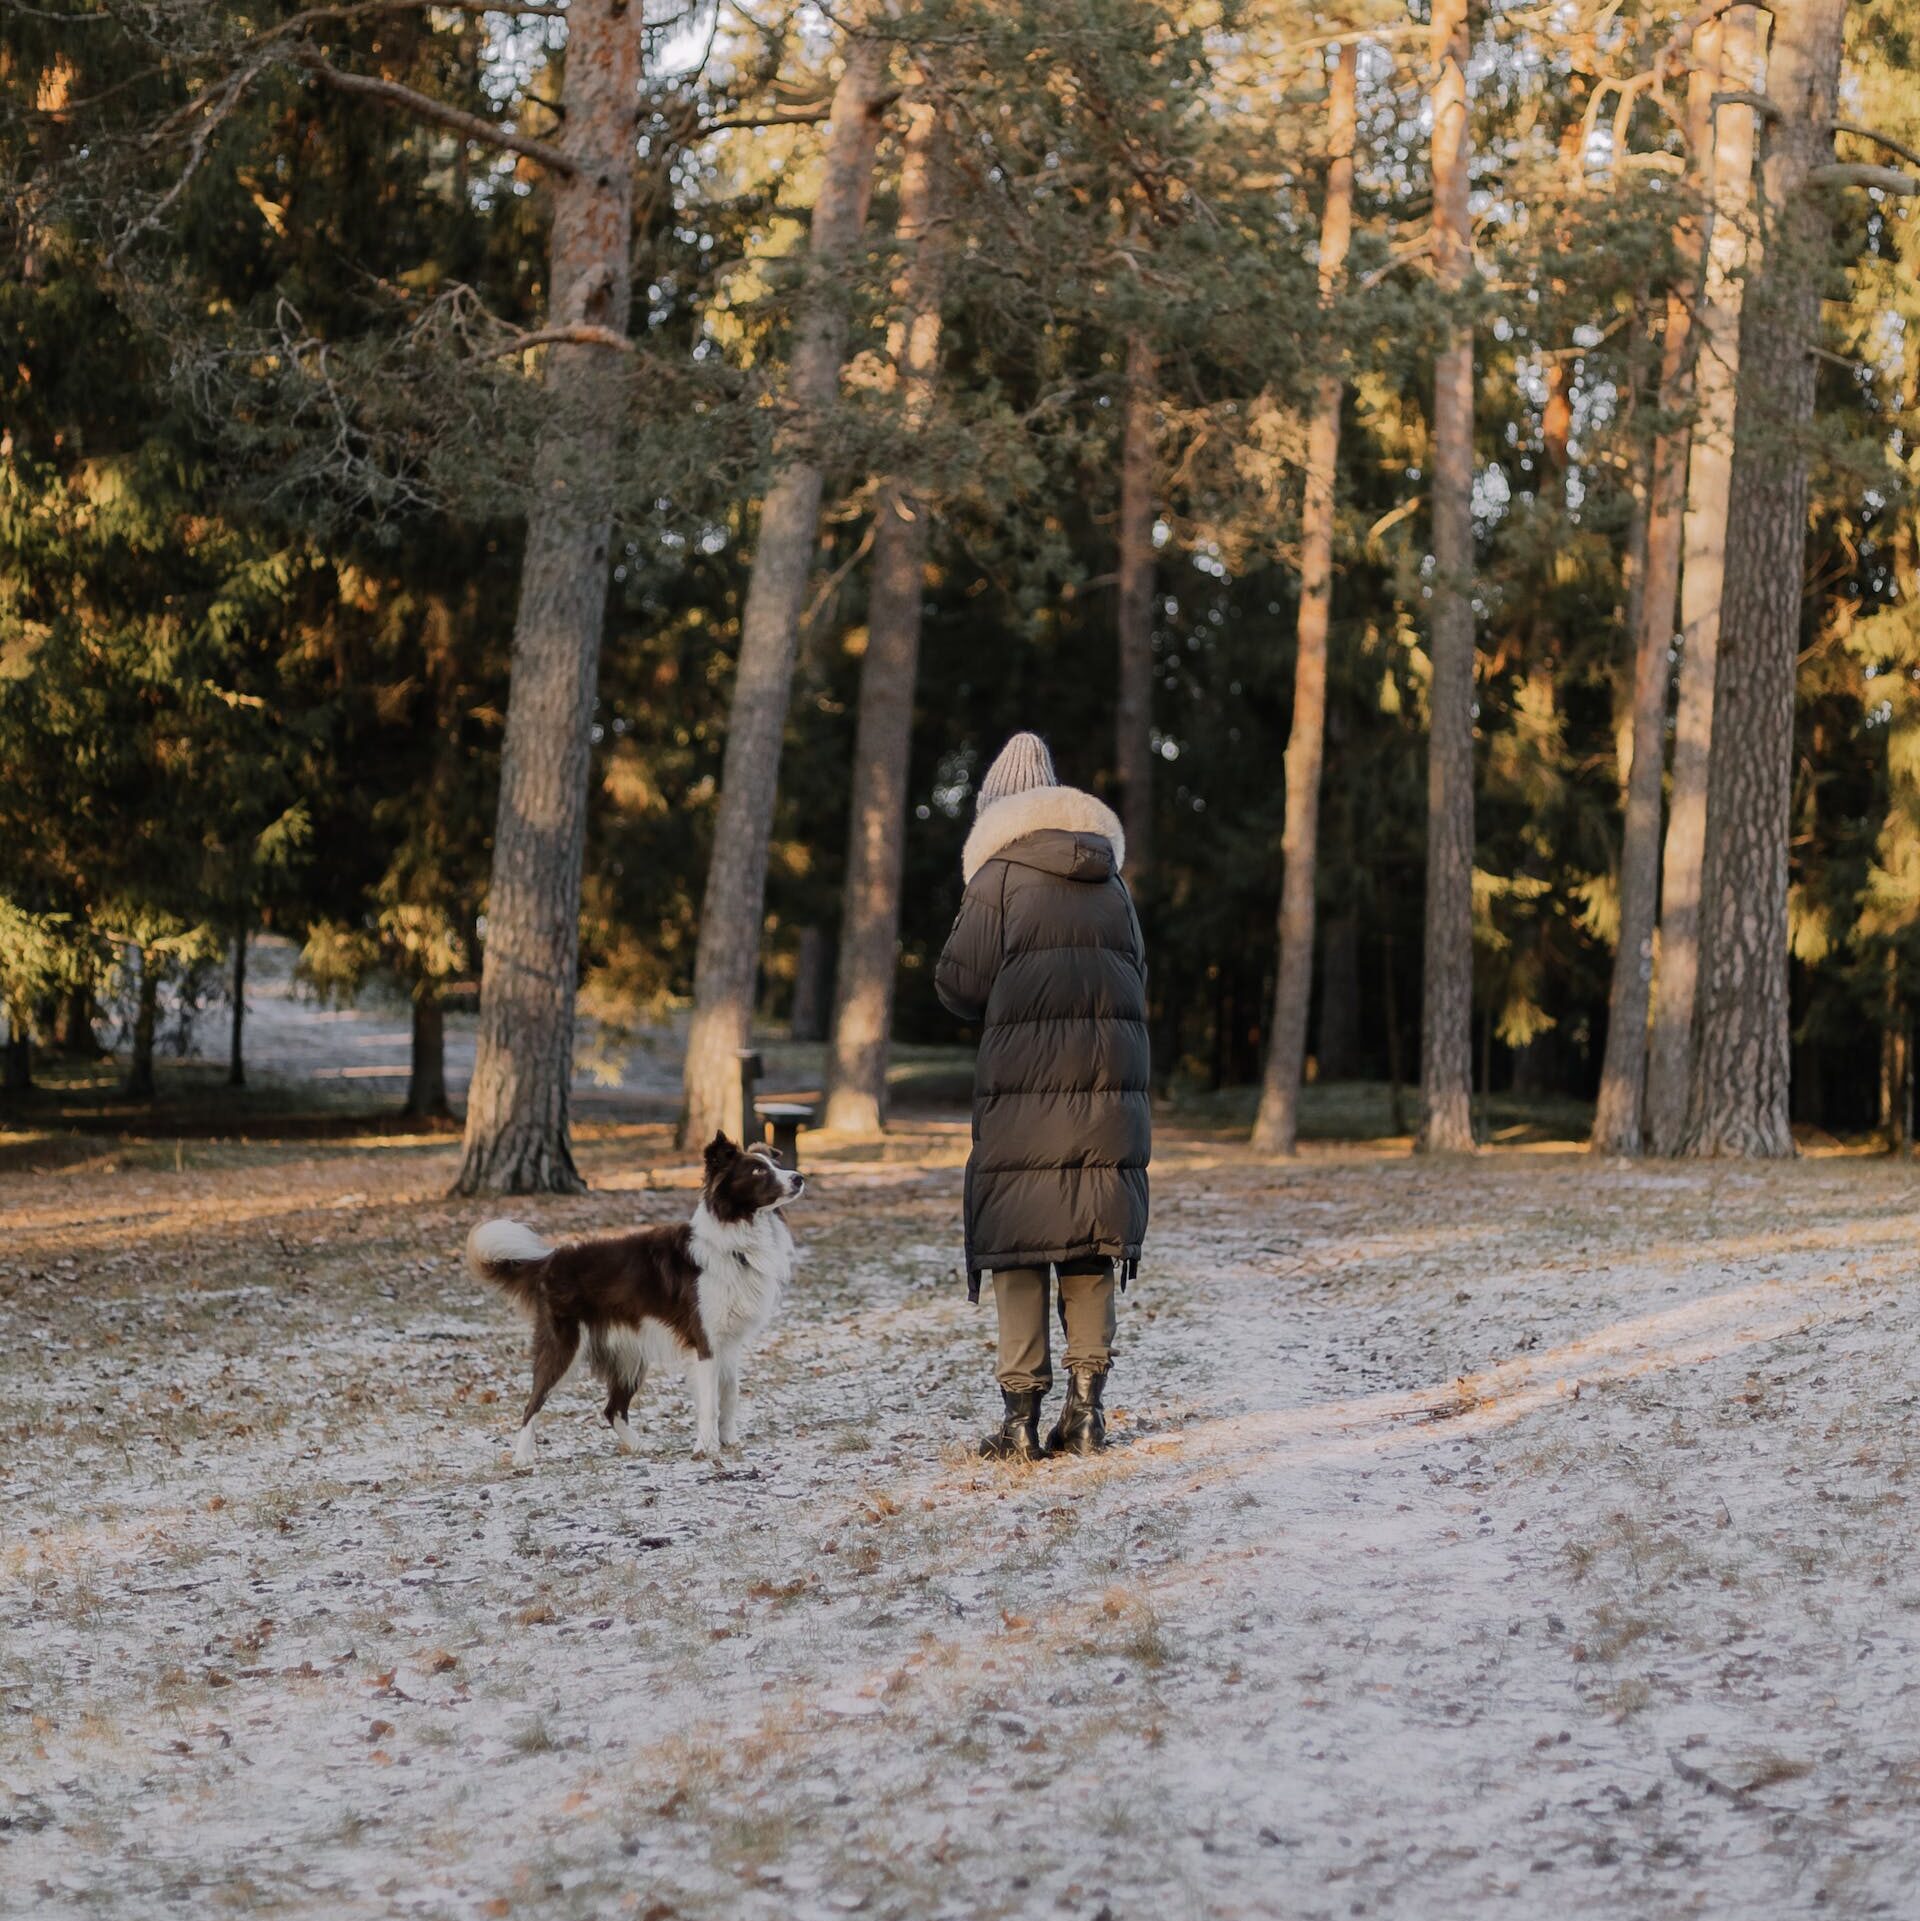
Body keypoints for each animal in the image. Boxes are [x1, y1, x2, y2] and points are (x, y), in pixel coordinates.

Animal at [468, 1129, 807, 1459]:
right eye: (758, 1170)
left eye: (775, 1164)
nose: (799, 1177)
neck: (735, 1240)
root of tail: (550, 1261)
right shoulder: (705, 1342)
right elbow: (710, 1402)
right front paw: (706, 1448)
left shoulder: (729, 1343)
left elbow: (730, 1395)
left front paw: (729, 1441)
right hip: (564, 1347)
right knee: (533, 1404)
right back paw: (523, 1459)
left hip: (629, 1354)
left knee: (612, 1409)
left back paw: (641, 1448)